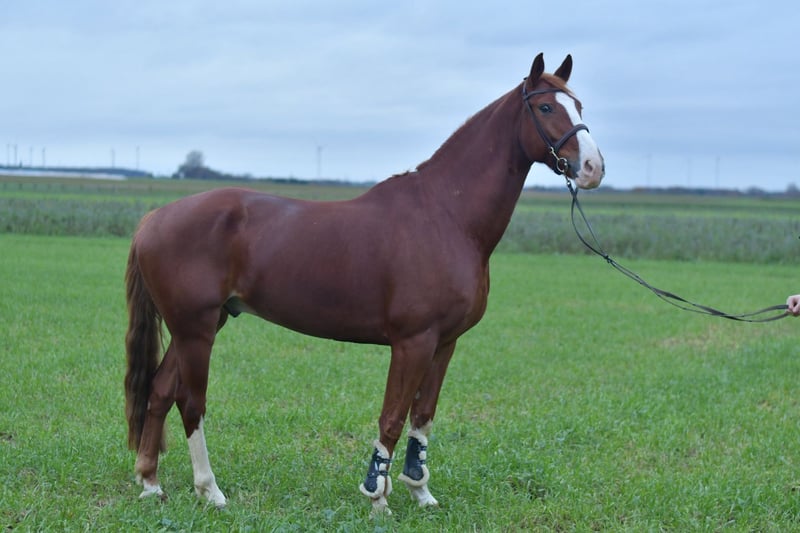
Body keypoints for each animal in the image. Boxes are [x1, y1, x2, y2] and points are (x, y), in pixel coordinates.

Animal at [124, 53, 604, 515]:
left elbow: (423, 415)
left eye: (580, 106)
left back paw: (150, 483)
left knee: (159, 391)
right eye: (545, 107)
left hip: (198, 326)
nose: (593, 168)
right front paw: (378, 497)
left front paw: (420, 492)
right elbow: (392, 418)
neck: (446, 216)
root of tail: (153, 218)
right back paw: (210, 491)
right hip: (197, 329)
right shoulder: (412, 342)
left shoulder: (444, 343)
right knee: (191, 402)